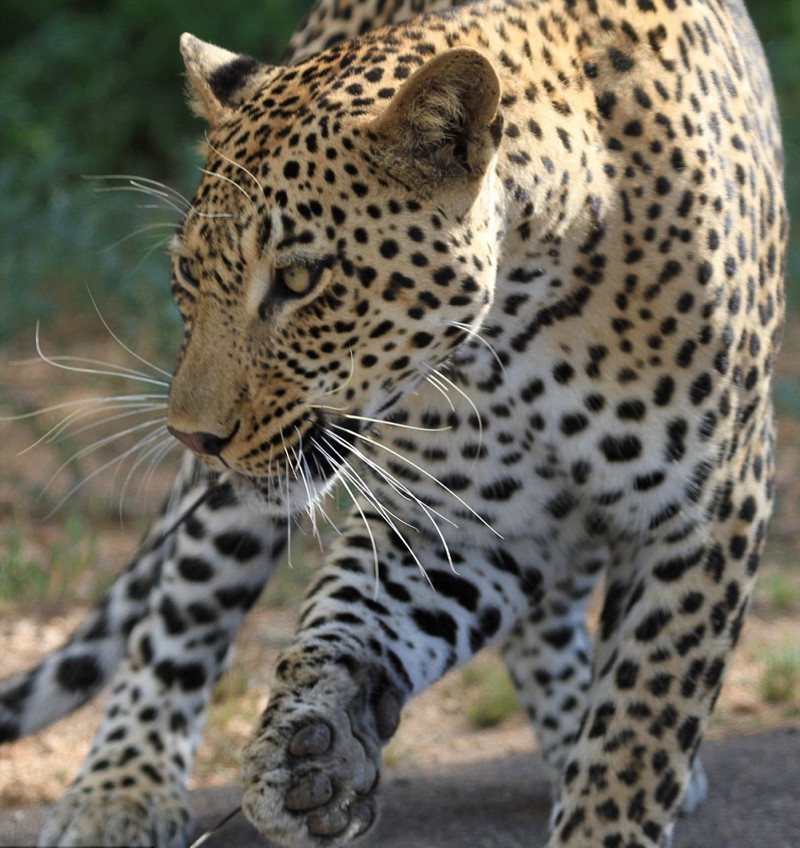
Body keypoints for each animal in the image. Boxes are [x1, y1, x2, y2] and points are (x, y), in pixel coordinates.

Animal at [0, 0, 788, 844]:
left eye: (301, 280)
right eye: (187, 275)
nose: (194, 436)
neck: (529, 320)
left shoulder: (708, 516)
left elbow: (638, 734)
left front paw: (599, 805)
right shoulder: (459, 519)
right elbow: (349, 613)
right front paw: (316, 744)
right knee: (182, 608)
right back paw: (119, 789)